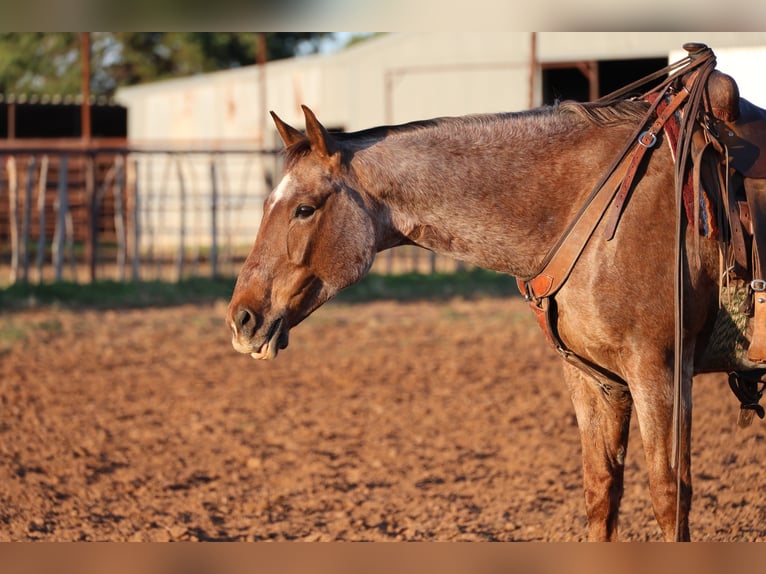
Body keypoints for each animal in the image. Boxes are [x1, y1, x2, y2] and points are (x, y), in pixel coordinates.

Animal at [225, 91, 737, 540]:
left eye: (304, 209)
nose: (241, 318)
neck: (598, 205)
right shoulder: (595, 377)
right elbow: (602, 492)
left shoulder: (660, 370)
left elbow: (670, 497)